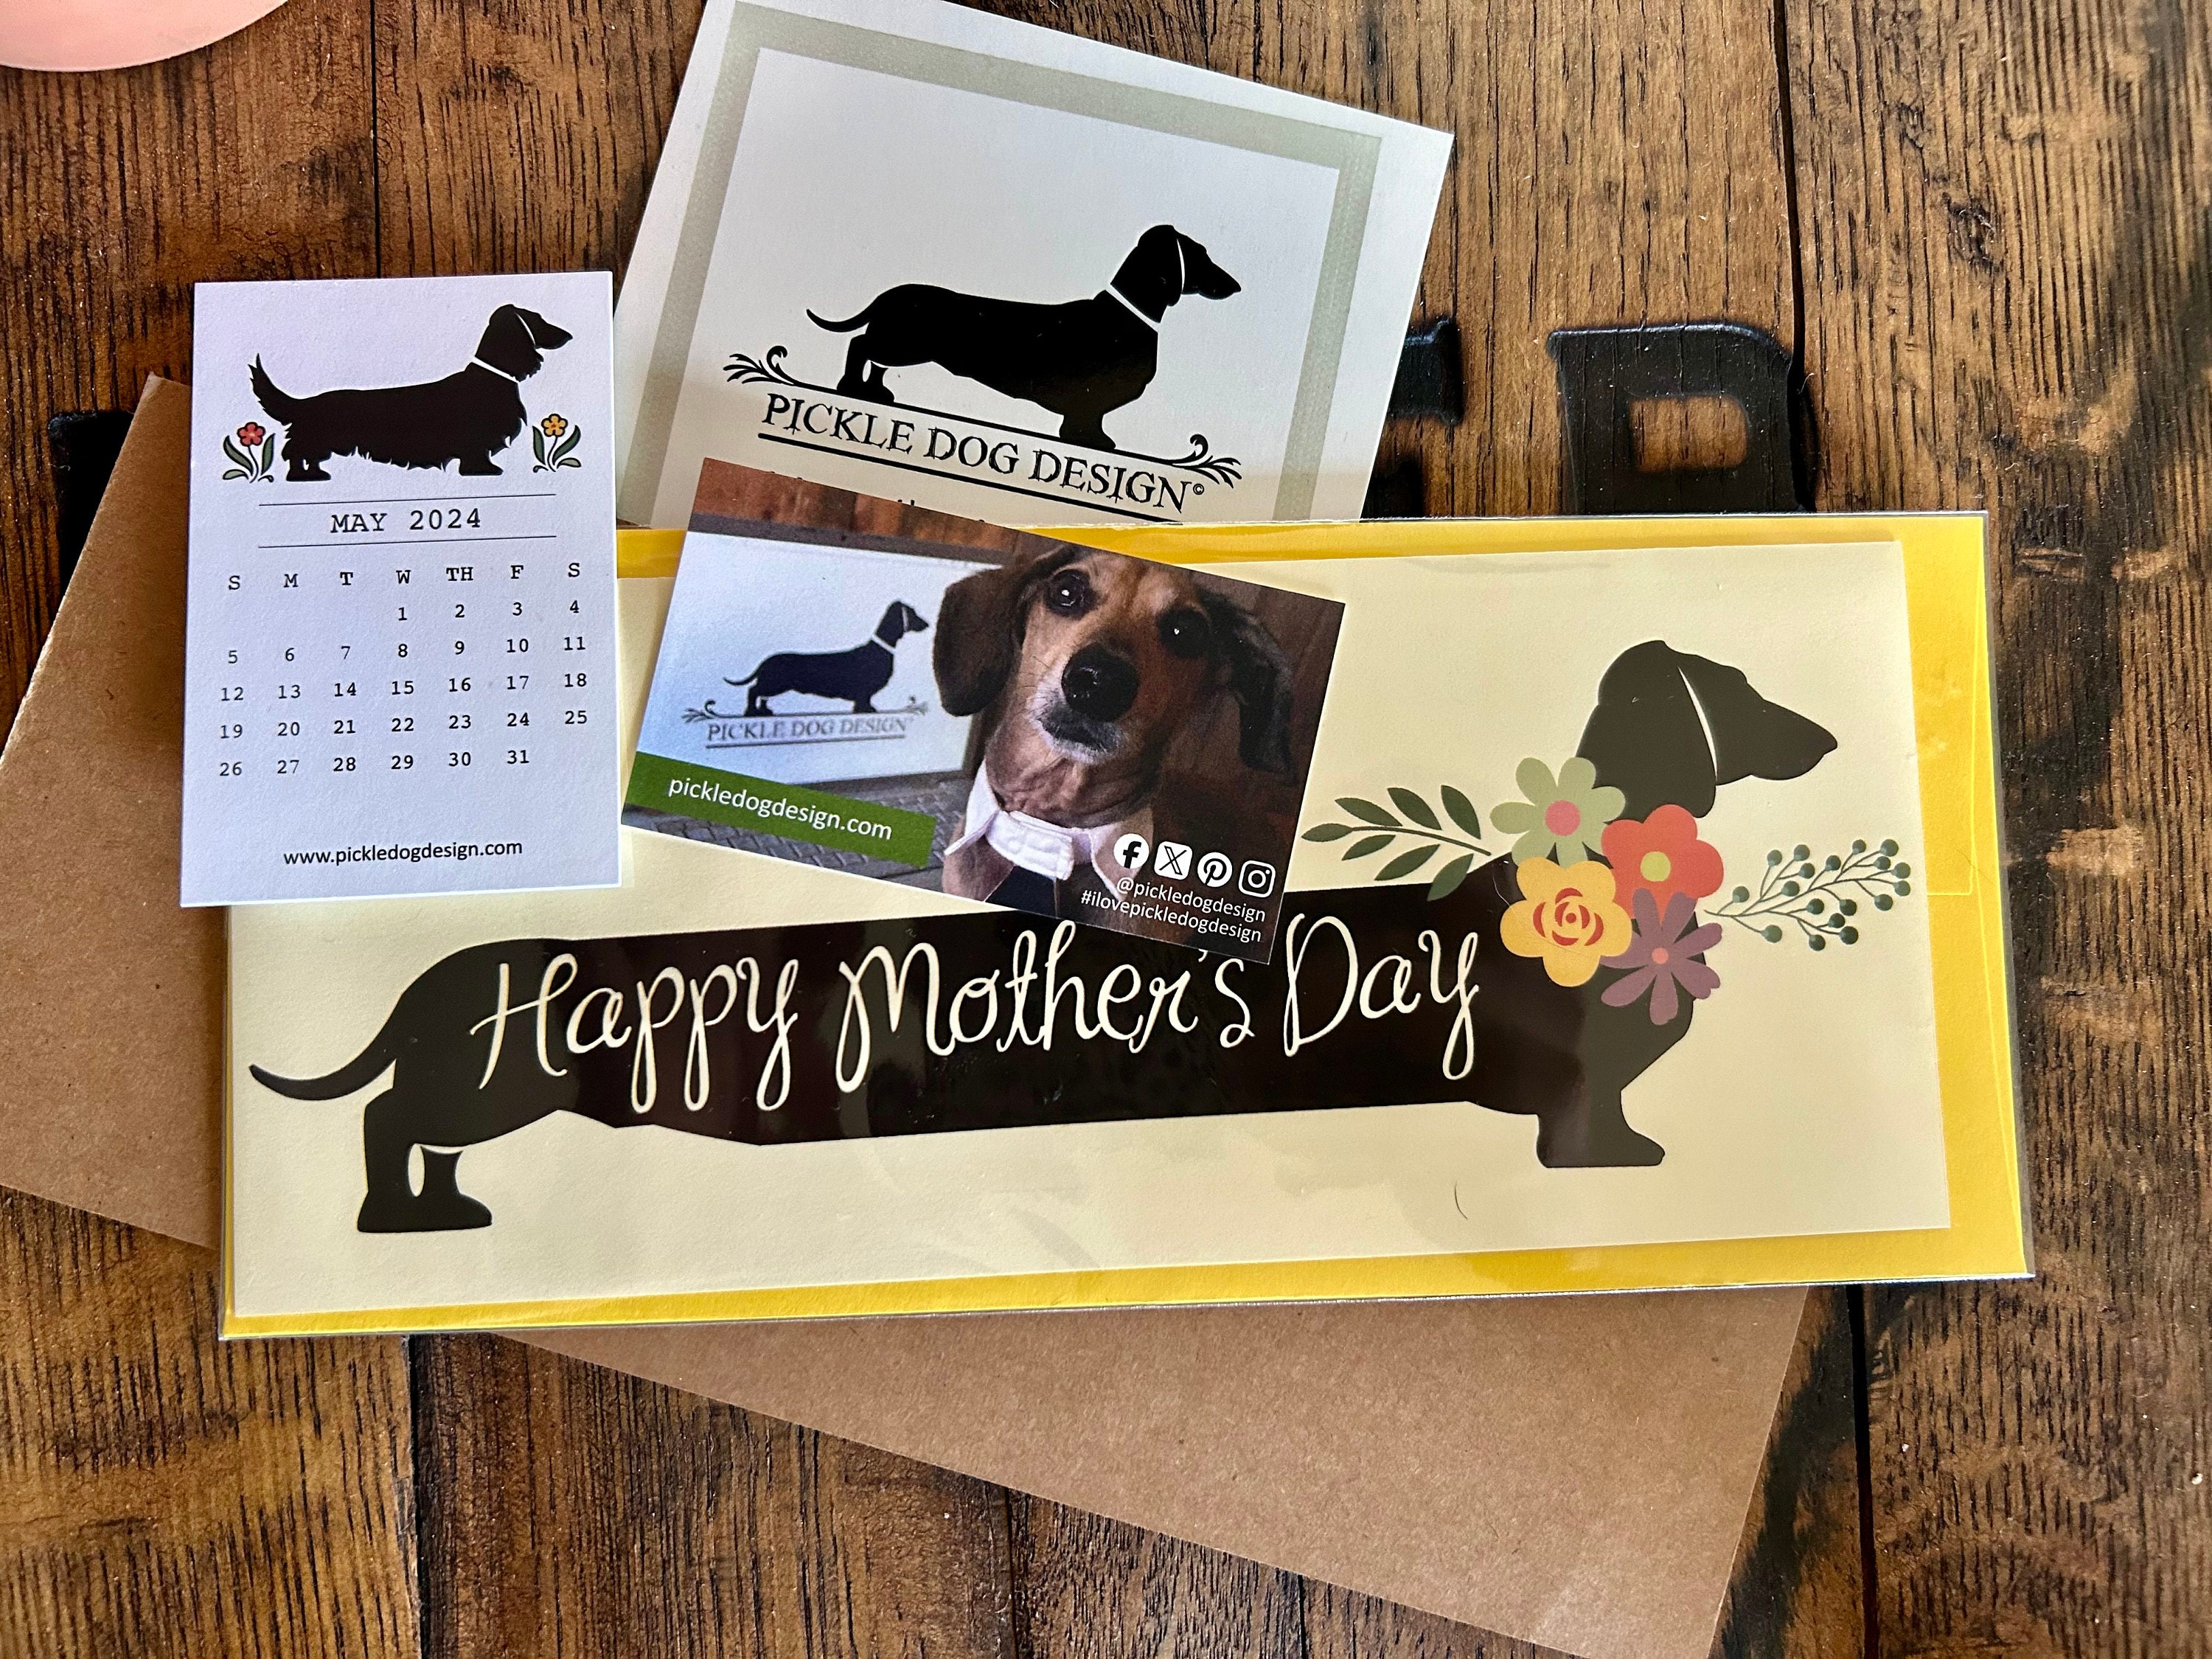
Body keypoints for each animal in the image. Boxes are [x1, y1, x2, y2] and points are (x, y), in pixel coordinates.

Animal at [248, 303, 572, 481]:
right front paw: (483, 471)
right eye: (538, 319)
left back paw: (315, 474)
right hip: (317, 436)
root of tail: (306, 403)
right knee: (296, 453)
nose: (568, 335)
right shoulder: (476, 437)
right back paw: (302, 477)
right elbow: (475, 455)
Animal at [726, 600, 929, 715]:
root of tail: (766, 661)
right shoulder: (863, 691)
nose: (927, 624)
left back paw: (765, 711)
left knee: (761, 695)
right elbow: (863, 702)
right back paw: (751, 712)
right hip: (775, 683)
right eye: (913, 613)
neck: (879, 650)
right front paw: (866, 711)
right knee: (753, 691)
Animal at [807, 225, 1240, 450]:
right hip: (904, 345)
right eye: (1201, 254)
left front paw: (1094, 440)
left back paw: (876, 394)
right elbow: (1085, 421)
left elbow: (1087, 422)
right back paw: (850, 387)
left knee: (874, 360)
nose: (1236, 286)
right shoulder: (1089, 397)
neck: (1126, 316)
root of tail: (891, 294)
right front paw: (1093, 442)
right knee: (860, 346)